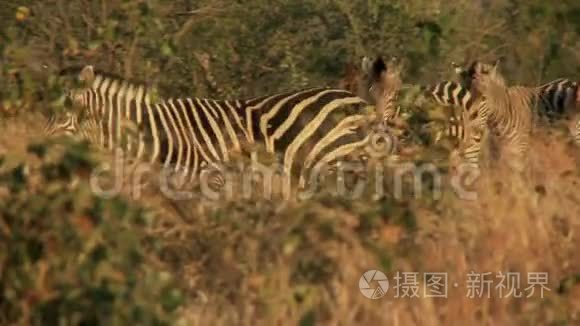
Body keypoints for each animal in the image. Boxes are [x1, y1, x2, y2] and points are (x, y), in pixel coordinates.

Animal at [46, 59, 398, 200]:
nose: (36, 148)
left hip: (334, 166)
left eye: (64, 119)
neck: (158, 134)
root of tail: (361, 102)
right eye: (49, 117)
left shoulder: (212, 179)